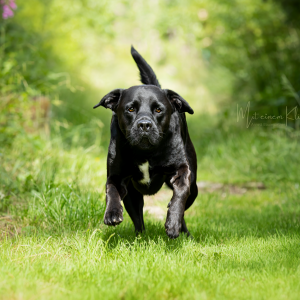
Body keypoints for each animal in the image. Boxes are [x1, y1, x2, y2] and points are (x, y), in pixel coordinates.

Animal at [92, 47, 198, 239]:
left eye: (158, 109)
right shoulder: (117, 175)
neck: (146, 152)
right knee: (138, 220)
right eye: (130, 108)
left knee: (185, 203)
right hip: (133, 195)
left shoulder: (182, 170)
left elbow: (180, 194)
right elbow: (111, 190)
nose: (144, 125)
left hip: (194, 188)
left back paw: (183, 231)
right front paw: (112, 214)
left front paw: (172, 223)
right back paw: (139, 238)